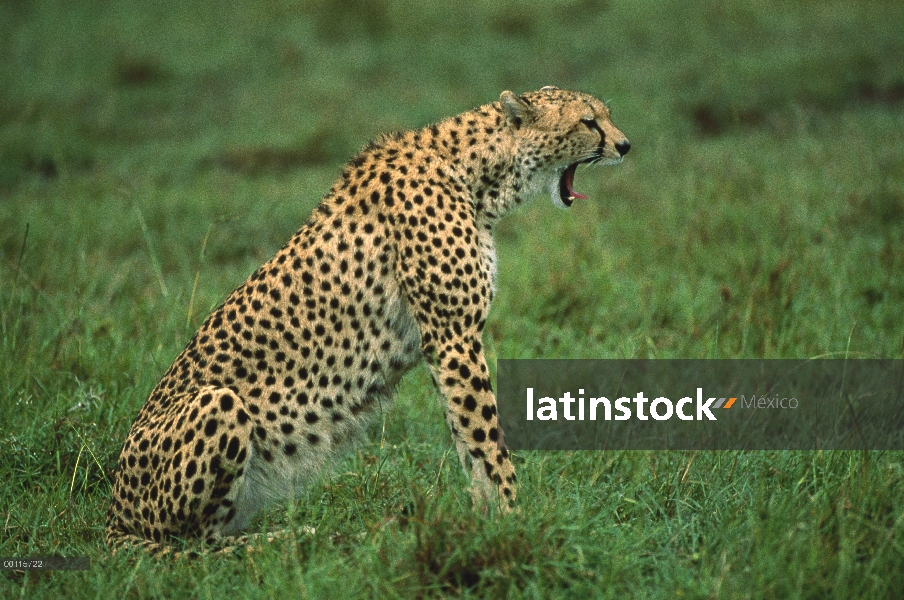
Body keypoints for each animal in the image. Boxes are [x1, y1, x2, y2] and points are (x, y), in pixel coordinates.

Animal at [104, 86, 628, 552]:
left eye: (604, 115)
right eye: (588, 121)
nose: (624, 145)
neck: (478, 172)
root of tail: (112, 516)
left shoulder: (446, 344)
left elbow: (466, 439)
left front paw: (485, 522)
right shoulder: (454, 336)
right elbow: (487, 439)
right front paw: (514, 519)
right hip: (218, 401)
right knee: (192, 543)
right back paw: (286, 541)